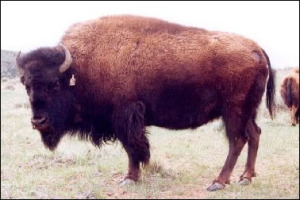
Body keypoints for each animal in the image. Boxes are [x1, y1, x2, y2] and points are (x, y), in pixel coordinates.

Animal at [15, 15, 274, 191]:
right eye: (27, 85)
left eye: (54, 85)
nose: (38, 121)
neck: (80, 68)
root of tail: (256, 48)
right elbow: (134, 147)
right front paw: (131, 177)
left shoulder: (125, 116)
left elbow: (133, 147)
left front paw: (129, 178)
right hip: (247, 111)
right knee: (255, 134)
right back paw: (245, 177)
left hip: (233, 110)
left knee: (237, 140)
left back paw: (218, 182)